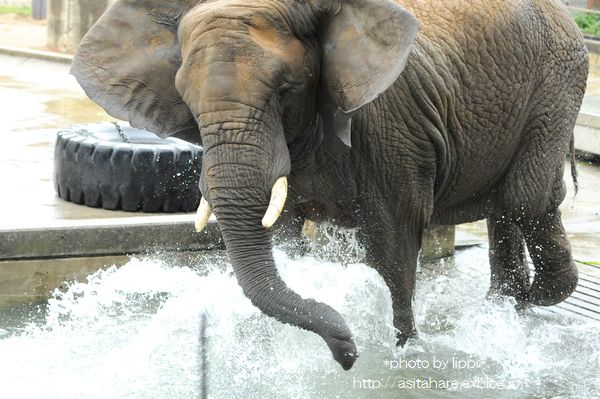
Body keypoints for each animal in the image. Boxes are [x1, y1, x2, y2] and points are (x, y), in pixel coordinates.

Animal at [69, 0, 584, 372]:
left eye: (284, 90)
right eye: (187, 102)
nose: (347, 351)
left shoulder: (392, 129)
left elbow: (392, 246)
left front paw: (402, 352)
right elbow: (282, 236)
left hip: (558, 86)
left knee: (526, 198)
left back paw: (521, 305)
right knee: (510, 205)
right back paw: (506, 308)